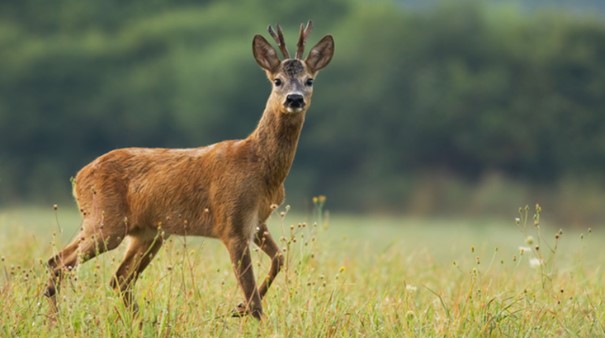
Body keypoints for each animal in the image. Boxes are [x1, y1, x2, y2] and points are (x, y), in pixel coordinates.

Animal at [44, 20, 332, 320]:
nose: (294, 99)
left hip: (146, 232)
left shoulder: (256, 221)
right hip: (106, 221)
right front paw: (244, 311)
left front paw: (237, 308)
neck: (260, 166)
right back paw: (56, 320)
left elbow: (279, 259)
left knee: (117, 278)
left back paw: (137, 321)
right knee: (59, 262)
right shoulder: (230, 222)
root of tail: (79, 177)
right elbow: (254, 299)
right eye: (277, 80)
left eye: (309, 80)